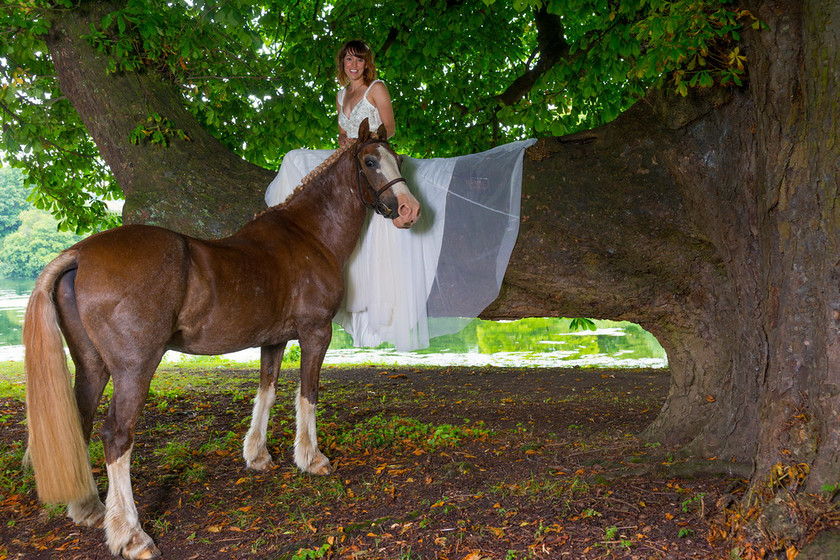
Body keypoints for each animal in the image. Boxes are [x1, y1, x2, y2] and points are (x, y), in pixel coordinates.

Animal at [24, 120, 418, 556]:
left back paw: (89, 509)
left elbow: (267, 391)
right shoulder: (316, 332)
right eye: (370, 162)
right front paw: (311, 458)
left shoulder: (274, 340)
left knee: (80, 422)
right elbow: (308, 393)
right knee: (116, 436)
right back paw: (132, 534)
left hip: (92, 366)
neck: (309, 236)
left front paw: (258, 456)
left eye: (398, 160)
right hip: (134, 368)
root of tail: (80, 253)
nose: (409, 210)